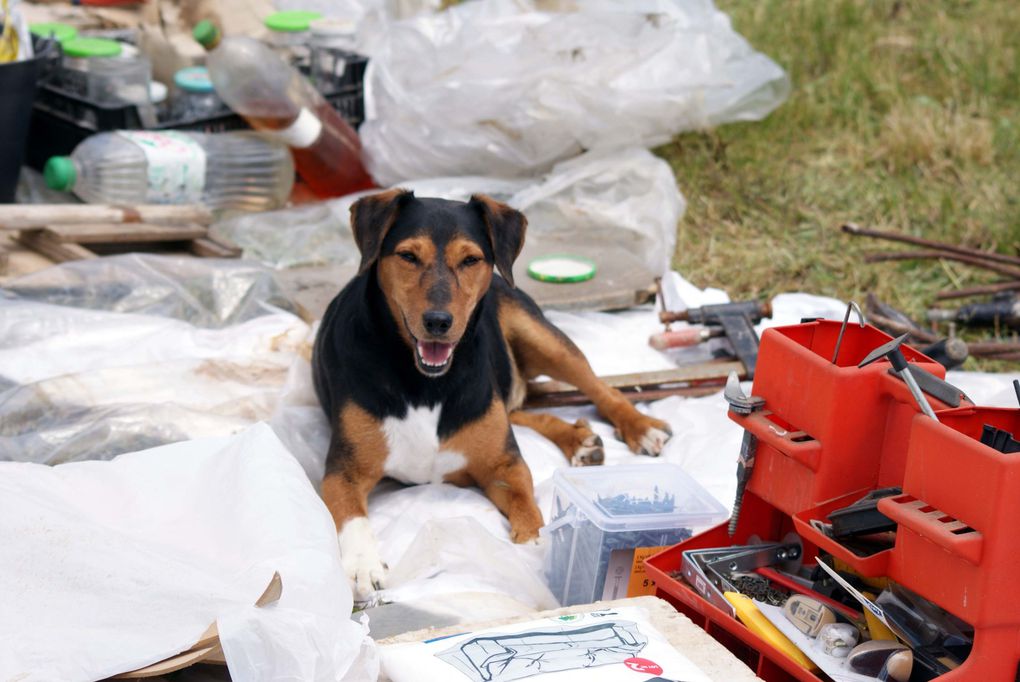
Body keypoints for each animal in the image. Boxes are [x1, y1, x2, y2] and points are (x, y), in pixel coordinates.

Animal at [314, 188, 673, 599]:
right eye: (407, 256)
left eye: (470, 259)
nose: (438, 322)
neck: (424, 382)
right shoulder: (343, 471)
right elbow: (352, 516)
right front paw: (362, 564)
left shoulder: (503, 464)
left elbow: (526, 503)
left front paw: (534, 543)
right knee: (525, 406)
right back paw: (580, 439)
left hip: (541, 335)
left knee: (600, 389)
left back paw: (639, 427)